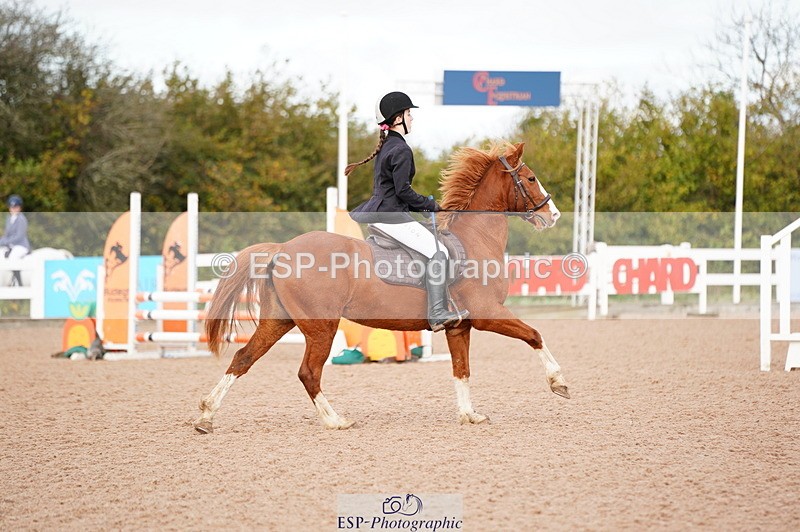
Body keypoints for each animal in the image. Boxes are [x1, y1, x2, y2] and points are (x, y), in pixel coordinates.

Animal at [195, 141, 570, 433]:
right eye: (531, 178)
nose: (553, 215)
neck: (475, 240)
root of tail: (283, 248)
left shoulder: (459, 326)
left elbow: (461, 370)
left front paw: (469, 415)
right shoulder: (487, 313)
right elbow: (534, 335)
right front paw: (558, 383)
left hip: (278, 320)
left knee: (243, 358)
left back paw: (206, 416)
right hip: (321, 327)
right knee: (309, 372)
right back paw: (336, 421)